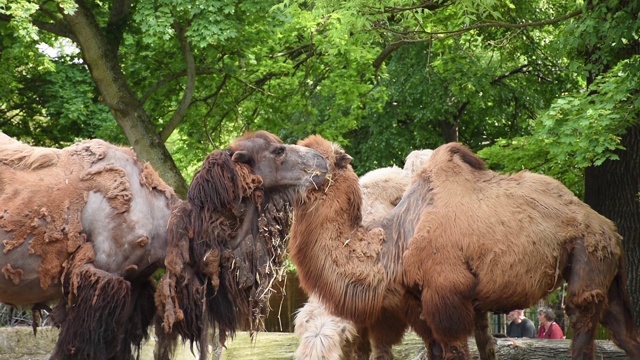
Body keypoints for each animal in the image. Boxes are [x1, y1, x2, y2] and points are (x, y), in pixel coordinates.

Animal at [290, 134, 640, 360]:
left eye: (308, 160)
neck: (395, 242)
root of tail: (611, 229)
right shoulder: (419, 305)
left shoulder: (446, 297)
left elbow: (454, 351)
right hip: (607, 279)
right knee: (625, 331)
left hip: (588, 257)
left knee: (582, 323)